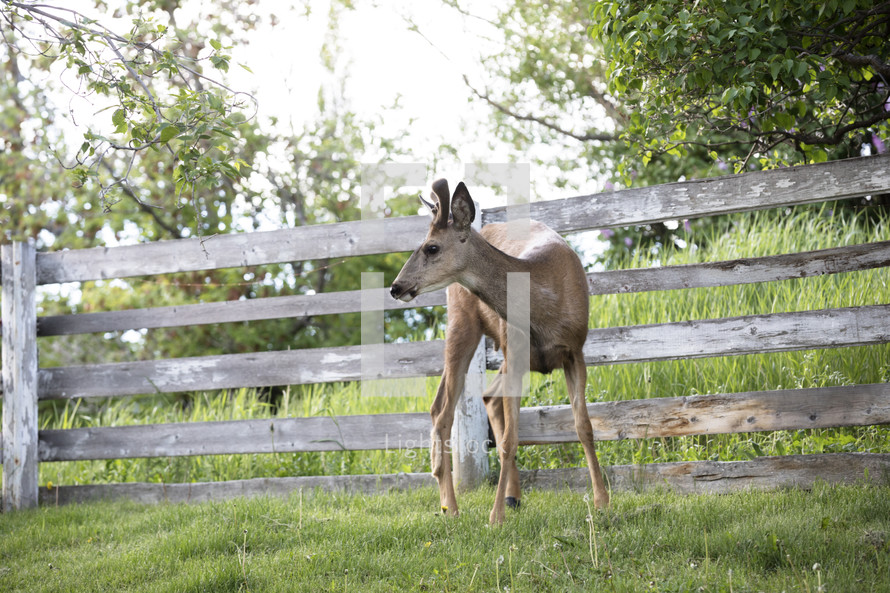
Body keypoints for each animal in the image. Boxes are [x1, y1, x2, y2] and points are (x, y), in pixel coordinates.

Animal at [390, 179, 612, 524]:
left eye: (431, 247)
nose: (395, 287)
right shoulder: (517, 354)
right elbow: (509, 439)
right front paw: (495, 517)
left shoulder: (575, 351)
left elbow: (584, 427)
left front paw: (602, 502)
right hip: (464, 324)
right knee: (443, 411)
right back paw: (451, 506)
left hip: (503, 353)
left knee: (478, 399)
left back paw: (510, 496)